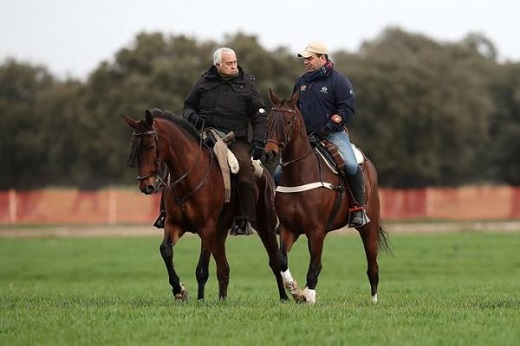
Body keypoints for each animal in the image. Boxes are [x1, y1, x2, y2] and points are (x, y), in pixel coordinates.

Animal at [121, 109, 288, 302]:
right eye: (134, 146)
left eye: (150, 146)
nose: (145, 185)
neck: (190, 176)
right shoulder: (174, 224)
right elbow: (166, 250)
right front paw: (179, 289)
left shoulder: (206, 228)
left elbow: (202, 269)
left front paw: (200, 300)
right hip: (219, 232)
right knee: (224, 268)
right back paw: (222, 300)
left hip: (264, 224)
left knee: (275, 261)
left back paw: (284, 297)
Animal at [264, 90, 390, 304]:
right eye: (269, 119)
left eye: (289, 121)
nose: (269, 153)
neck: (301, 174)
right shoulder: (289, 229)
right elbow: (281, 260)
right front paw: (296, 291)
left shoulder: (316, 230)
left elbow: (315, 266)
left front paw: (309, 296)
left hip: (369, 226)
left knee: (372, 264)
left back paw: (374, 300)